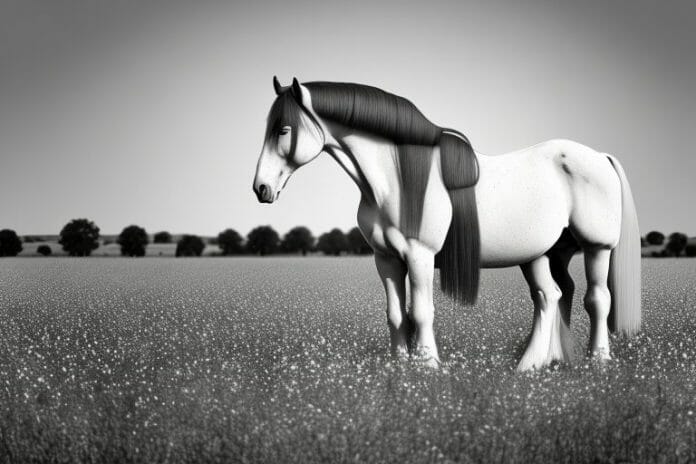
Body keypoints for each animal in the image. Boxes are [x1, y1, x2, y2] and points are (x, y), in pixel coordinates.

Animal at [252, 76, 641, 371]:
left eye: (284, 129)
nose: (261, 189)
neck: (394, 177)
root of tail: (600, 157)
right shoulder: (386, 259)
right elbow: (396, 314)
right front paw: (401, 366)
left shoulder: (419, 256)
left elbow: (422, 311)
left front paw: (427, 365)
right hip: (544, 254)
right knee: (552, 296)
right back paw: (536, 363)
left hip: (596, 248)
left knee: (596, 299)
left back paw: (596, 359)